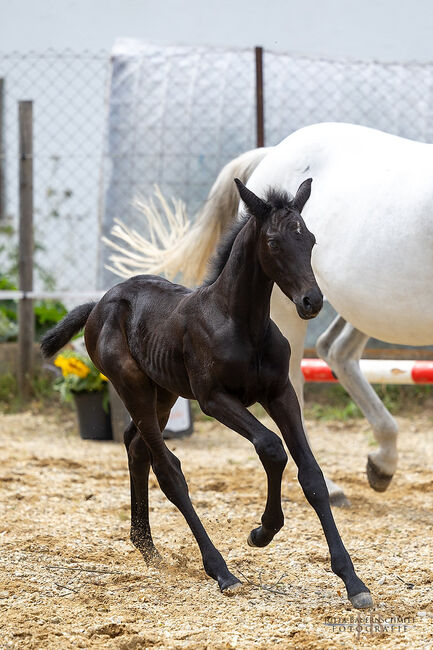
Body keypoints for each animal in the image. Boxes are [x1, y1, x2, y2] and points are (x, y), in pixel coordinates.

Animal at [40, 177, 372, 608]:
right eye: (274, 242)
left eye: (311, 240)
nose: (311, 301)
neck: (241, 323)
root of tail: (99, 303)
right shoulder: (214, 399)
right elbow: (271, 447)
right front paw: (263, 531)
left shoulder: (280, 393)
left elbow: (311, 474)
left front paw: (353, 581)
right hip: (132, 386)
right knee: (168, 469)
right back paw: (220, 570)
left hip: (163, 392)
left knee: (136, 445)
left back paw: (147, 548)